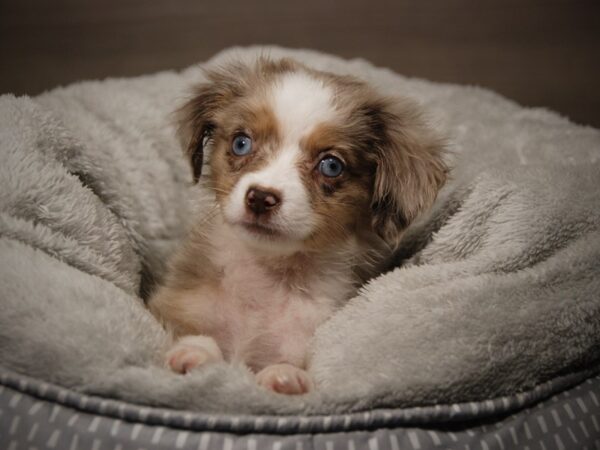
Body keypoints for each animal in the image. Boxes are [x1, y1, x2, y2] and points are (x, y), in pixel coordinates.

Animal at [148, 57, 448, 394]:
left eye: (331, 165)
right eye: (241, 143)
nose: (260, 198)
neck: (267, 274)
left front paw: (285, 376)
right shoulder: (176, 306)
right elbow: (194, 336)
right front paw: (194, 353)